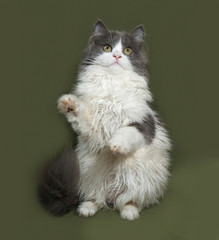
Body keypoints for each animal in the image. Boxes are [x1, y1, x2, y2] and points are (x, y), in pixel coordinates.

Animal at [38, 19, 171, 220]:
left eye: (127, 51)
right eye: (107, 48)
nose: (116, 55)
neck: (112, 87)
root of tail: (112, 193)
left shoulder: (144, 124)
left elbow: (126, 132)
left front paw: (115, 146)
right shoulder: (93, 127)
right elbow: (80, 113)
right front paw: (68, 103)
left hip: (143, 181)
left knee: (130, 200)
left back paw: (129, 213)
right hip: (88, 177)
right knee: (97, 199)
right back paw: (86, 209)